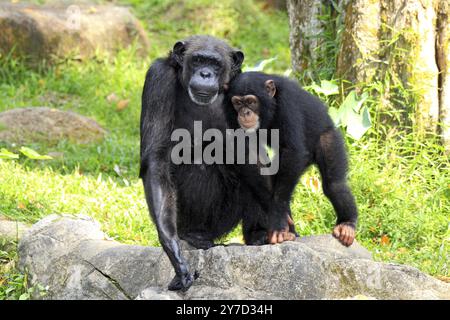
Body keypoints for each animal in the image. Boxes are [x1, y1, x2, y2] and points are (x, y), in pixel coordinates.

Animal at [139, 36, 292, 292]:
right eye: (198, 60)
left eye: (216, 64)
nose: (205, 73)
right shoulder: (157, 79)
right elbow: (156, 157)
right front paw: (174, 252)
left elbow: (255, 150)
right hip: (193, 221)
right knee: (201, 161)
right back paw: (196, 236)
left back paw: (259, 235)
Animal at [227, 72, 360, 246]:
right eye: (237, 103)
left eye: (250, 101)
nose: (244, 113)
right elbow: (249, 155)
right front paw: (281, 219)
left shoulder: (288, 104)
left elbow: (293, 150)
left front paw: (278, 221)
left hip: (330, 137)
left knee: (334, 185)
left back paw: (347, 224)